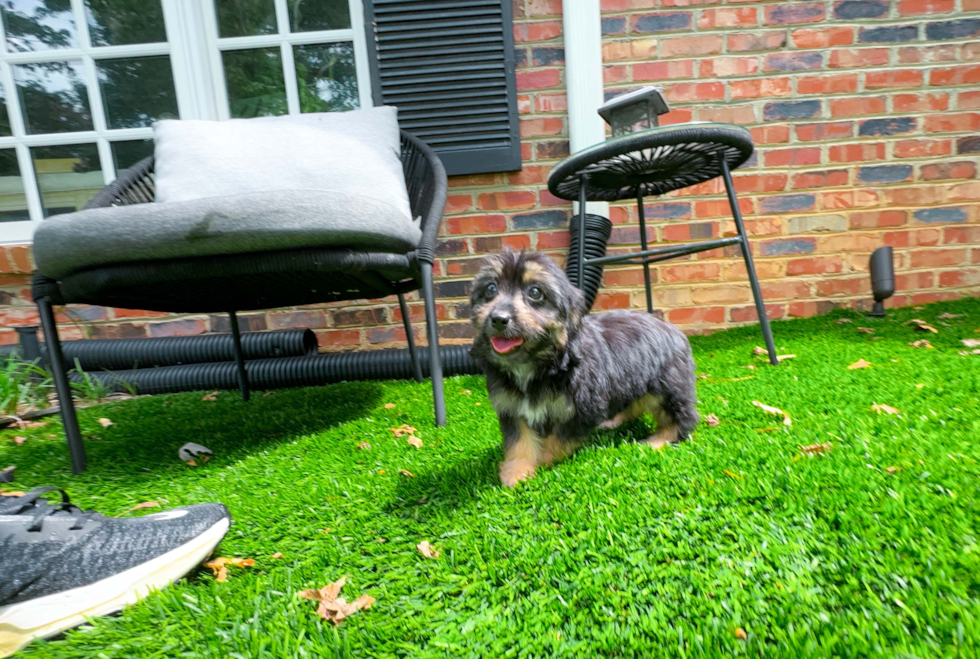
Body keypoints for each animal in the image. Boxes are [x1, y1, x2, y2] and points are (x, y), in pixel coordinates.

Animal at [470, 250, 700, 488]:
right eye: (491, 288)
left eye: (535, 292)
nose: (499, 319)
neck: (539, 365)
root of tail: (673, 329)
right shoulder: (512, 408)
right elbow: (519, 440)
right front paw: (517, 472)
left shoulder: (583, 408)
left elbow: (558, 439)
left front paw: (543, 461)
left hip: (667, 386)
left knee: (683, 417)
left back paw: (658, 440)